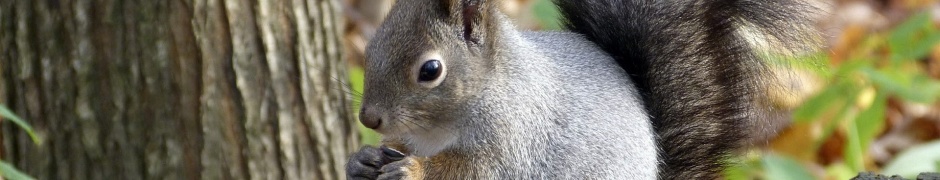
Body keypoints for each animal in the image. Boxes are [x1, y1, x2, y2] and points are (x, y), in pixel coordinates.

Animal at [346, 0, 816, 179]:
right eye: (372, 45)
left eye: (431, 70)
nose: (369, 118)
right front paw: (364, 159)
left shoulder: (515, 139)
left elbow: (472, 171)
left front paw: (413, 169)